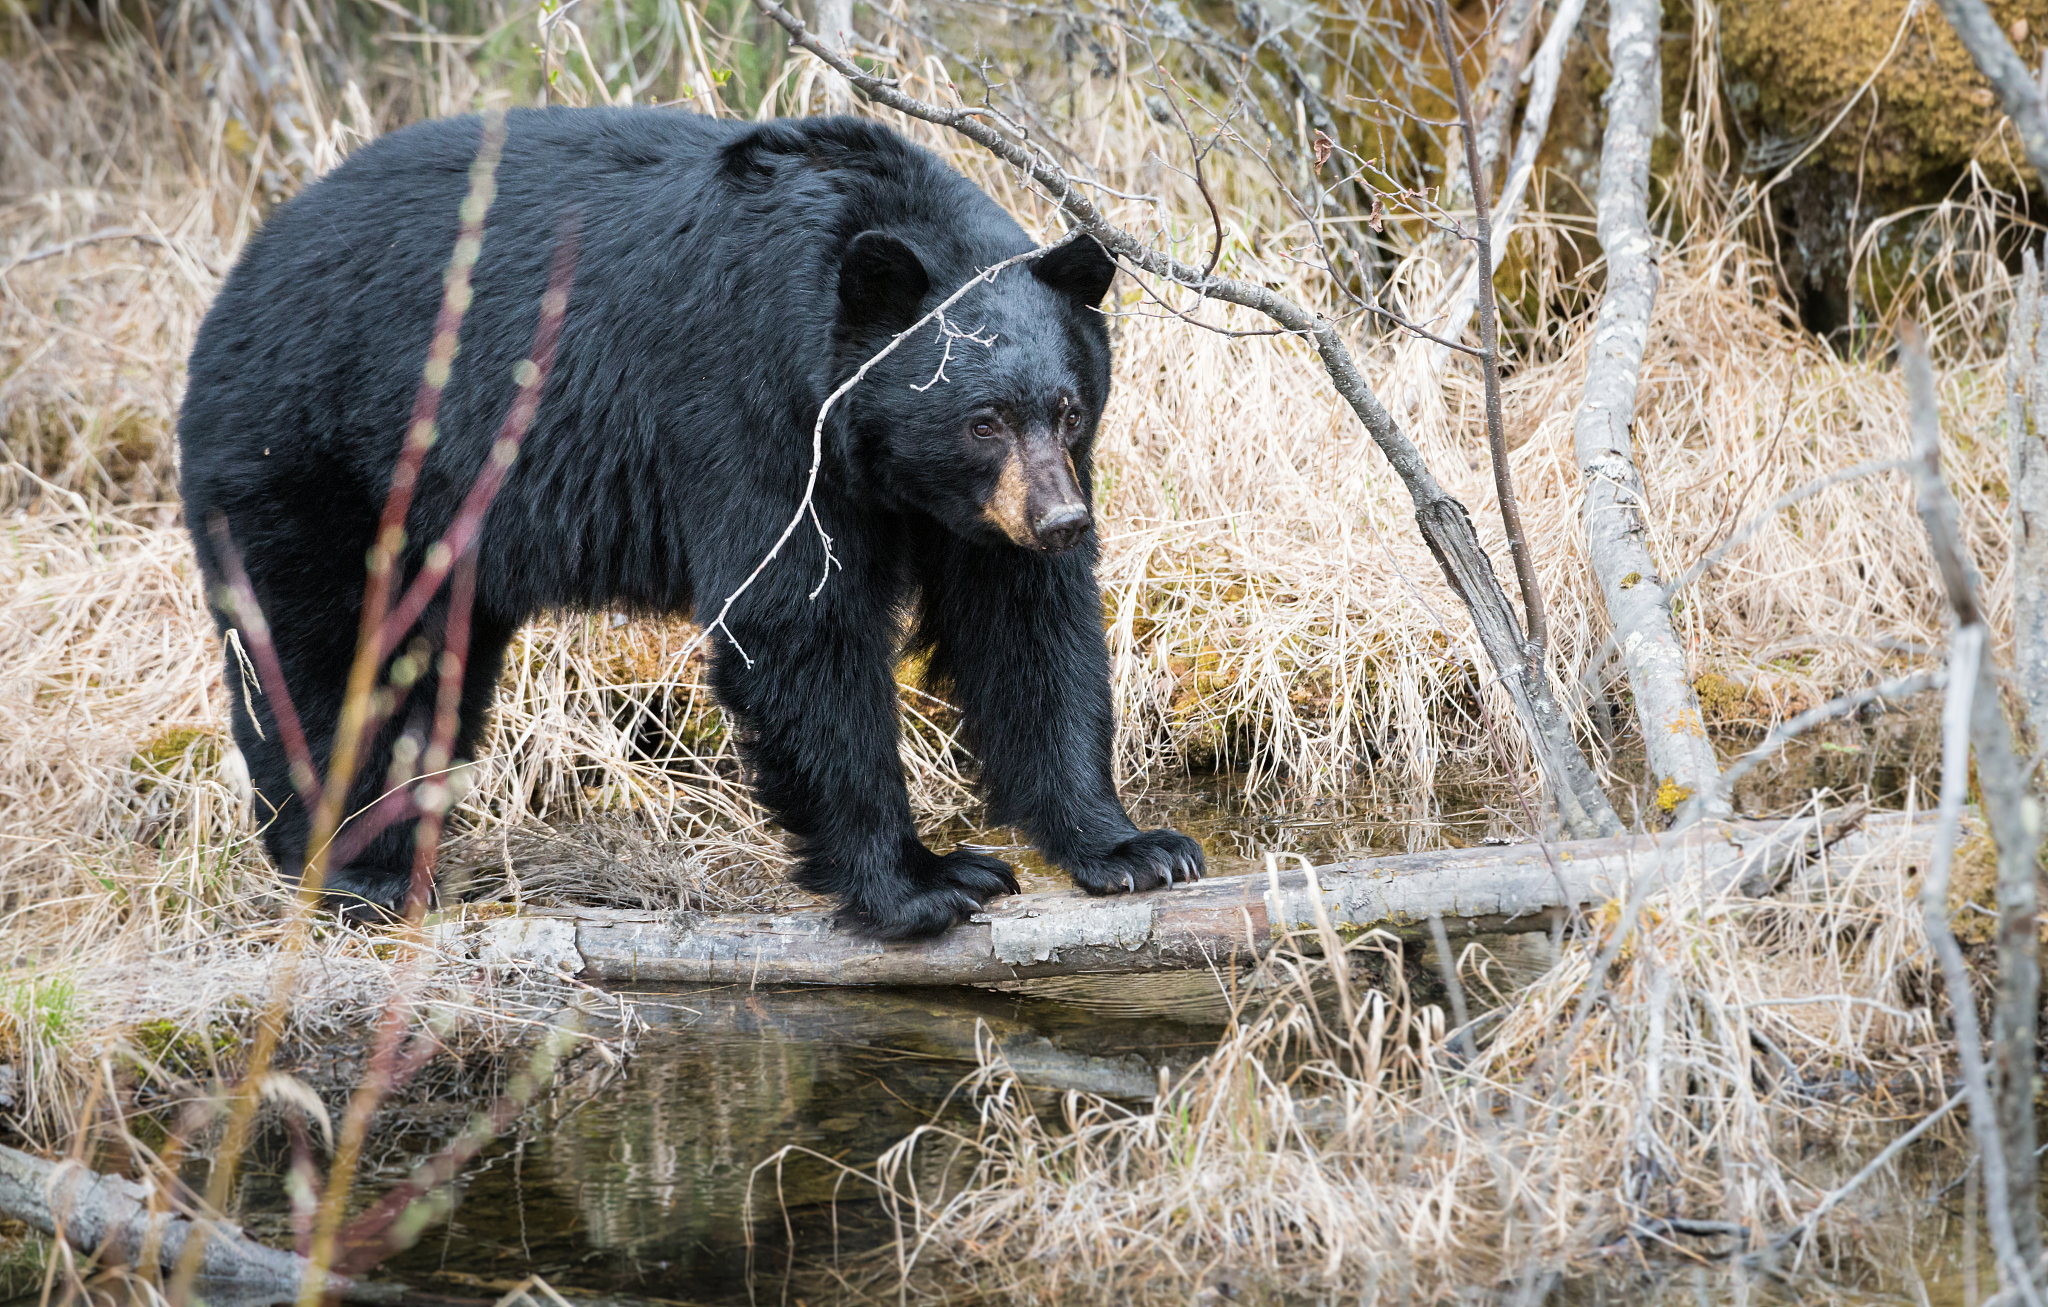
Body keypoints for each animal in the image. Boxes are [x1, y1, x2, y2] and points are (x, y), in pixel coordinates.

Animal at [176, 109, 1205, 939]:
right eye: (981, 418)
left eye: (1067, 409)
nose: (1062, 519)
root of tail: (239, 276)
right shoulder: (751, 403)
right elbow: (795, 621)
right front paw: (924, 882)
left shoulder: (973, 513)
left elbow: (1027, 627)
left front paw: (1132, 846)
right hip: (322, 450)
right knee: (331, 653)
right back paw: (355, 868)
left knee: (426, 671)